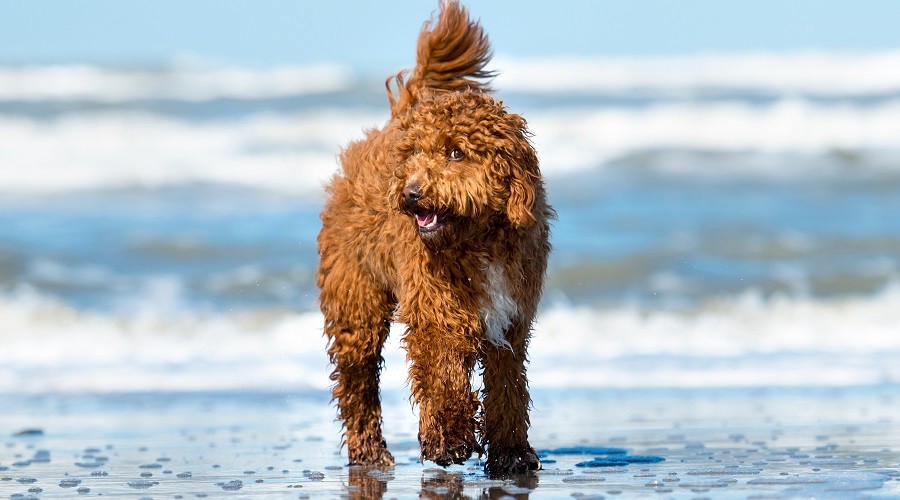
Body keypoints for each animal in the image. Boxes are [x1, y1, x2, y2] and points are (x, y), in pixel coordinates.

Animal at [320, 0, 552, 476]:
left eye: (456, 152)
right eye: (415, 154)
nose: (409, 193)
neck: (480, 240)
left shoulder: (511, 321)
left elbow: (508, 389)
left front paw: (512, 455)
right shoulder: (437, 310)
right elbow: (443, 375)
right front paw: (448, 440)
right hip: (356, 302)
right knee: (357, 381)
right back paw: (369, 452)